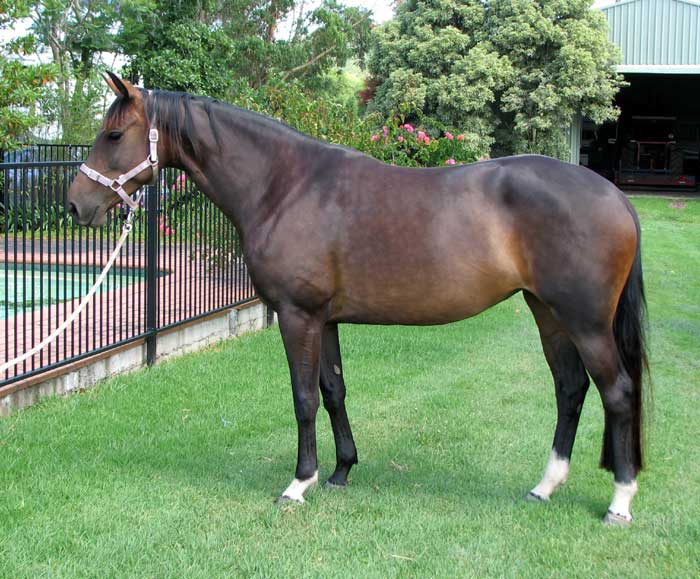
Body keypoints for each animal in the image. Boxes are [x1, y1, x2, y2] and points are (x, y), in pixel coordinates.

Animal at [68, 73, 648, 525]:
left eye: (114, 133)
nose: (75, 205)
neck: (284, 186)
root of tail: (615, 197)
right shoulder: (323, 320)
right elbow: (333, 391)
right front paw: (341, 470)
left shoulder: (297, 316)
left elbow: (303, 397)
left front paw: (299, 483)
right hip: (547, 313)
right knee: (571, 389)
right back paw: (545, 487)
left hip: (586, 323)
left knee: (617, 392)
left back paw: (620, 502)